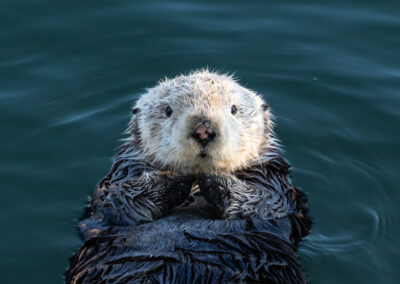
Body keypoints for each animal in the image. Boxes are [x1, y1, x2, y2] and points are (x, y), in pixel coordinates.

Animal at [65, 70, 312, 282]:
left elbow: (264, 203)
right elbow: (117, 200)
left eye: (234, 109)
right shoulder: (117, 180)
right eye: (167, 110)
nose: (204, 130)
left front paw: (213, 177)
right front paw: (176, 179)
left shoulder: (277, 186)